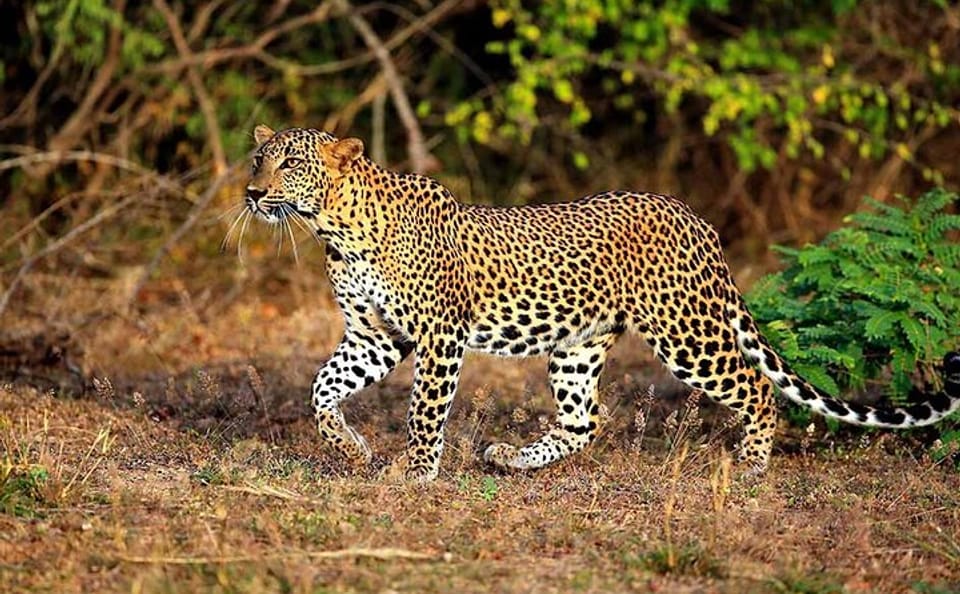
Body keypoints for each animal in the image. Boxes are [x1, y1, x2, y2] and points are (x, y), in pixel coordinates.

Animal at [240, 124, 960, 483]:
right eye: (257, 158)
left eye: (291, 163)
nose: (250, 192)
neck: (334, 228)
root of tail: (696, 219)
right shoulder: (374, 335)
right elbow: (321, 389)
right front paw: (350, 449)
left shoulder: (438, 335)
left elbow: (423, 411)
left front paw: (412, 473)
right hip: (578, 344)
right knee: (588, 420)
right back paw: (511, 460)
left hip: (686, 331)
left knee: (755, 386)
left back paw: (752, 466)